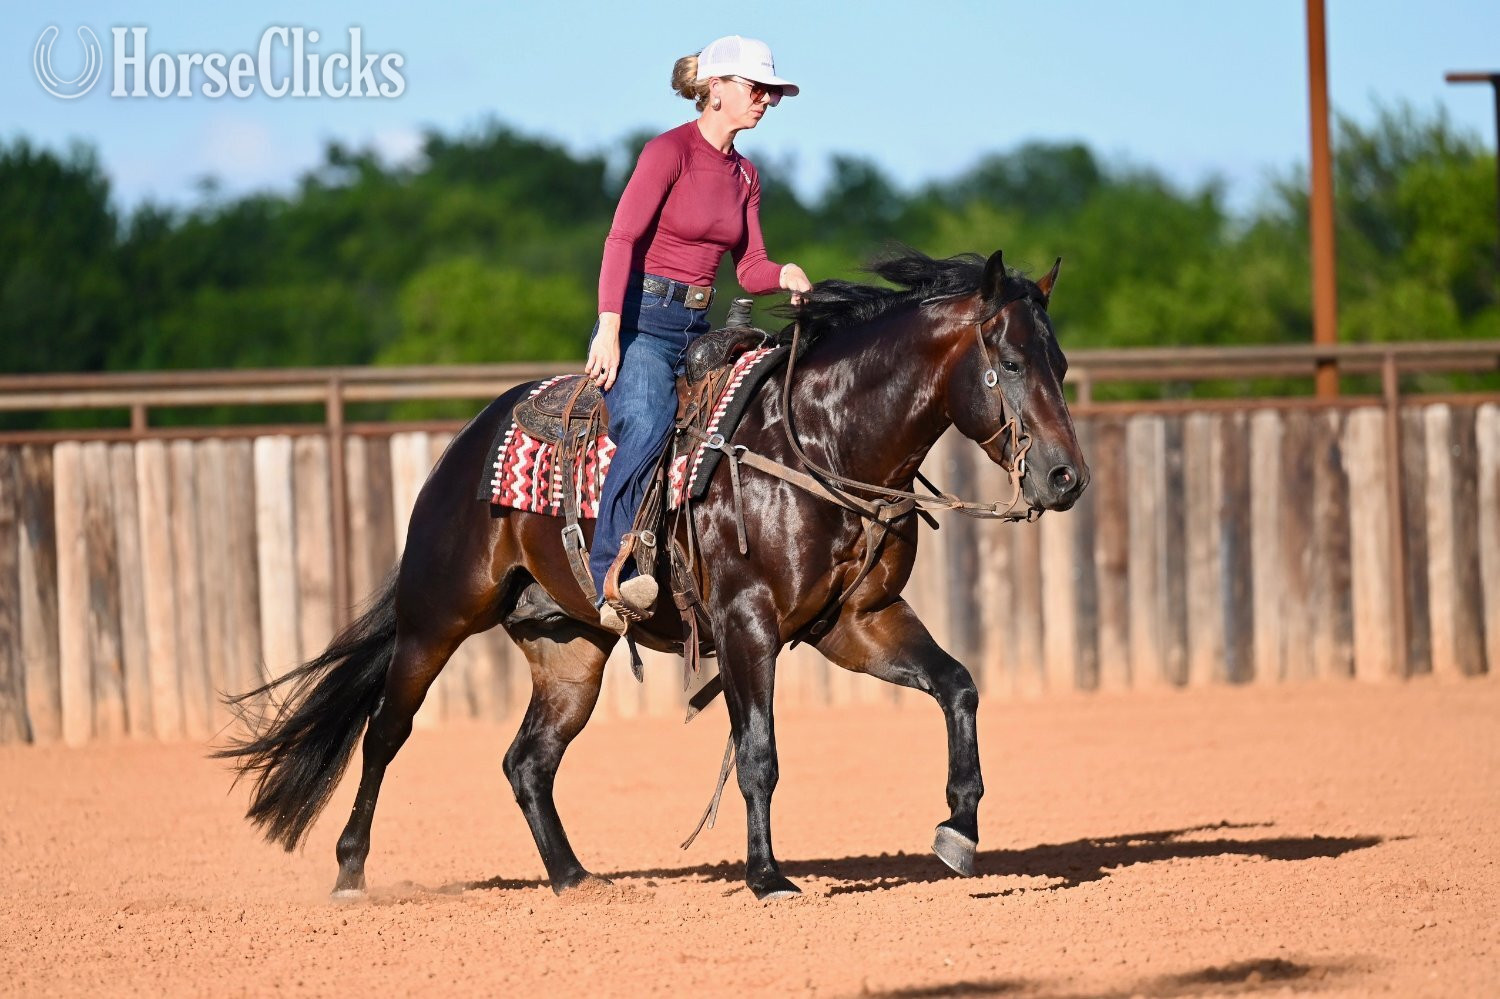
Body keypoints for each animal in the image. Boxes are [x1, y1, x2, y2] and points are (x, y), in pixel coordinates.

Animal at [217, 247, 1090, 902]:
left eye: (1061, 360)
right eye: (1012, 360)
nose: (1065, 477)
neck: (820, 440)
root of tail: (466, 444)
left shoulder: (859, 620)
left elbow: (958, 685)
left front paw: (960, 830)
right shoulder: (746, 622)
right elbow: (757, 750)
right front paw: (769, 877)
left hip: (569, 648)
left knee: (526, 760)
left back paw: (575, 877)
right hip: (436, 618)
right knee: (384, 733)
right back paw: (350, 872)